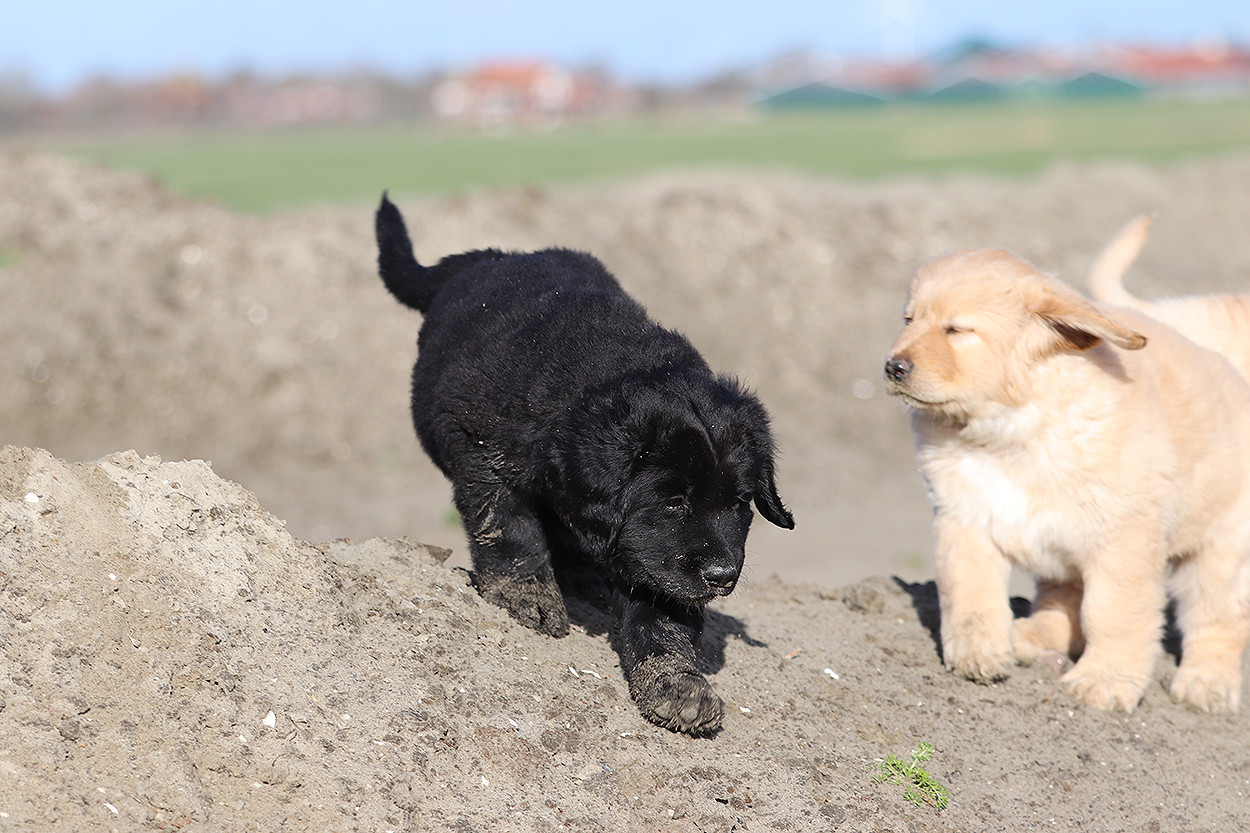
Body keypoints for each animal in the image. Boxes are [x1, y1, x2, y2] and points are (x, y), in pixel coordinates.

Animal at [374, 195, 793, 735]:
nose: (722, 575)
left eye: (740, 502)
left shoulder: (654, 560)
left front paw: (677, 685)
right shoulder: (483, 452)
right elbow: (509, 529)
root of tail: (487, 257)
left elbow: (663, 616)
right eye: (674, 502)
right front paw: (526, 595)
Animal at [884, 246, 1250, 713]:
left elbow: (1114, 614)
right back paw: (1027, 636)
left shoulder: (1122, 540)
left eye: (957, 330)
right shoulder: (964, 521)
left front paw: (1105, 680)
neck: (1010, 431)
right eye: (909, 320)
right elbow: (969, 595)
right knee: (1062, 603)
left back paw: (1207, 683)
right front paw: (978, 654)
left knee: (1218, 617)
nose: (893, 367)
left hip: (1221, 549)